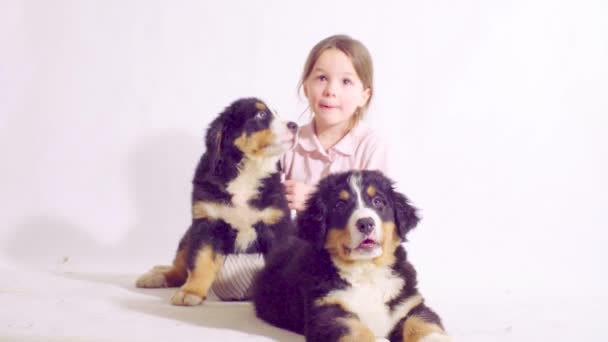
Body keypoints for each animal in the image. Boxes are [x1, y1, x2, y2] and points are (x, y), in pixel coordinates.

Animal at [138, 97, 300, 304]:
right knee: (180, 267)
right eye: (261, 114)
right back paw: (156, 276)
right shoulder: (207, 222)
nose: (294, 126)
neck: (247, 172)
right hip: (189, 233)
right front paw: (191, 292)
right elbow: (201, 260)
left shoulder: (277, 225)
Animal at [253, 170, 452, 340]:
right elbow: (355, 331)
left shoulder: (409, 304)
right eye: (340, 205)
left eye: (378, 202)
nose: (366, 223)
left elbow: (423, 323)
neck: (366, 270)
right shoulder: (328, 312)